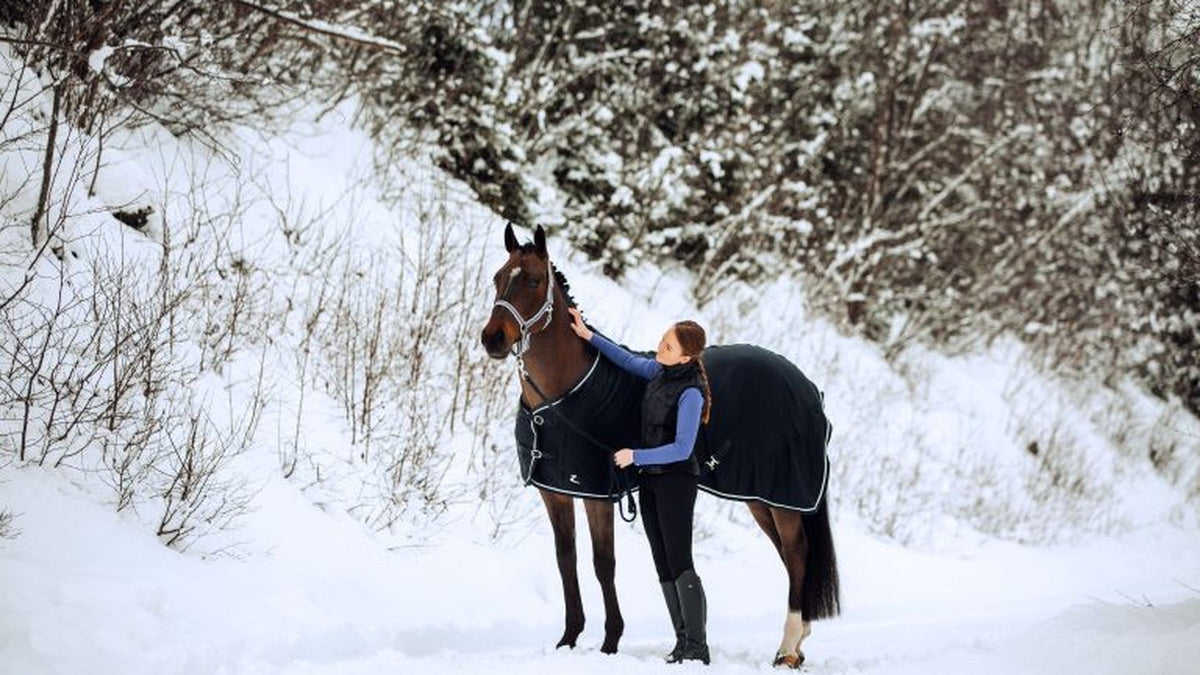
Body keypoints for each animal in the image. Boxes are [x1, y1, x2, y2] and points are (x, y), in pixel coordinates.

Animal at [480, 223, 840, 667]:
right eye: (498, 277)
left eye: (532, 280)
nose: (493, 339)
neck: (562, 395)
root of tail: (809, 388)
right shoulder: (557, 491)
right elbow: (567, 560)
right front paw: (569, 638)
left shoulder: (600, 493)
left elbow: (603, 563)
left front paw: (610, 642)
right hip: (762, 500)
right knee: (791, 557)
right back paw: (797, 642)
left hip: (782, 496)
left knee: (797, 552)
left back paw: (787, 647)